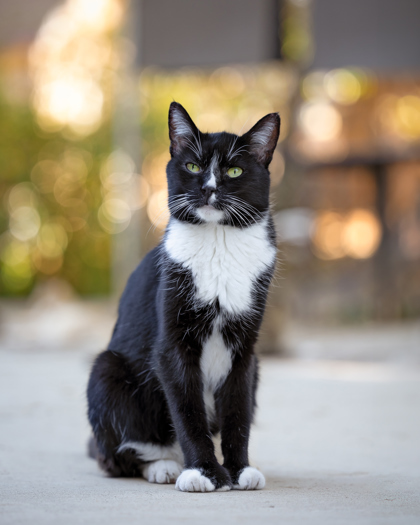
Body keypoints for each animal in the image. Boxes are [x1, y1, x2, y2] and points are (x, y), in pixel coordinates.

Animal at [87, 103, 280, 492]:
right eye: (192, 166)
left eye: (234, 170)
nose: (208, 189)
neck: (219, 240)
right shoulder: (172, 345)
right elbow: (187, 410)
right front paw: (203, 471)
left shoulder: (245, 350)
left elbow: (237, 410)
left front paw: (238, 469)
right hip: (107, 370)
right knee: (117, 454)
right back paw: (166, 465)